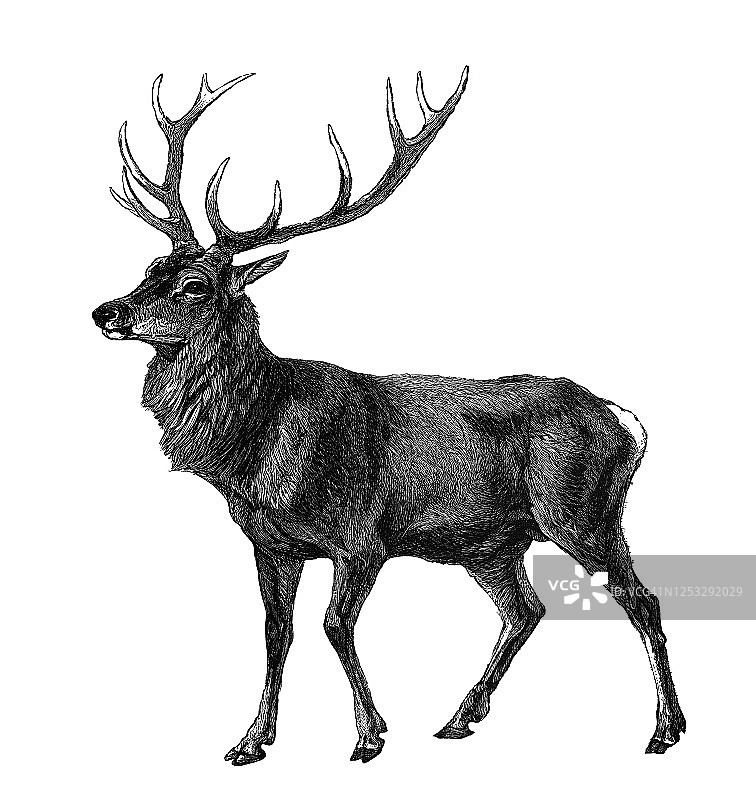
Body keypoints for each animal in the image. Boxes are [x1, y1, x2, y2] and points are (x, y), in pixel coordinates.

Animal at [92, 69, 686, 764]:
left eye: (194, 286)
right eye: (151, 267)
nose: (104, 311)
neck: (253, 447)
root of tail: (627, 422)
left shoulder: (361, 536)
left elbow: (333, 626)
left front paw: (369, 735)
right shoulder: (271, 543)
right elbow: (275, 631)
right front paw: (250, 740)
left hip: (580, 511)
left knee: (640, 598)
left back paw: (664, 729)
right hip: (493, 543)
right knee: (524, 609)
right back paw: (460, 717)